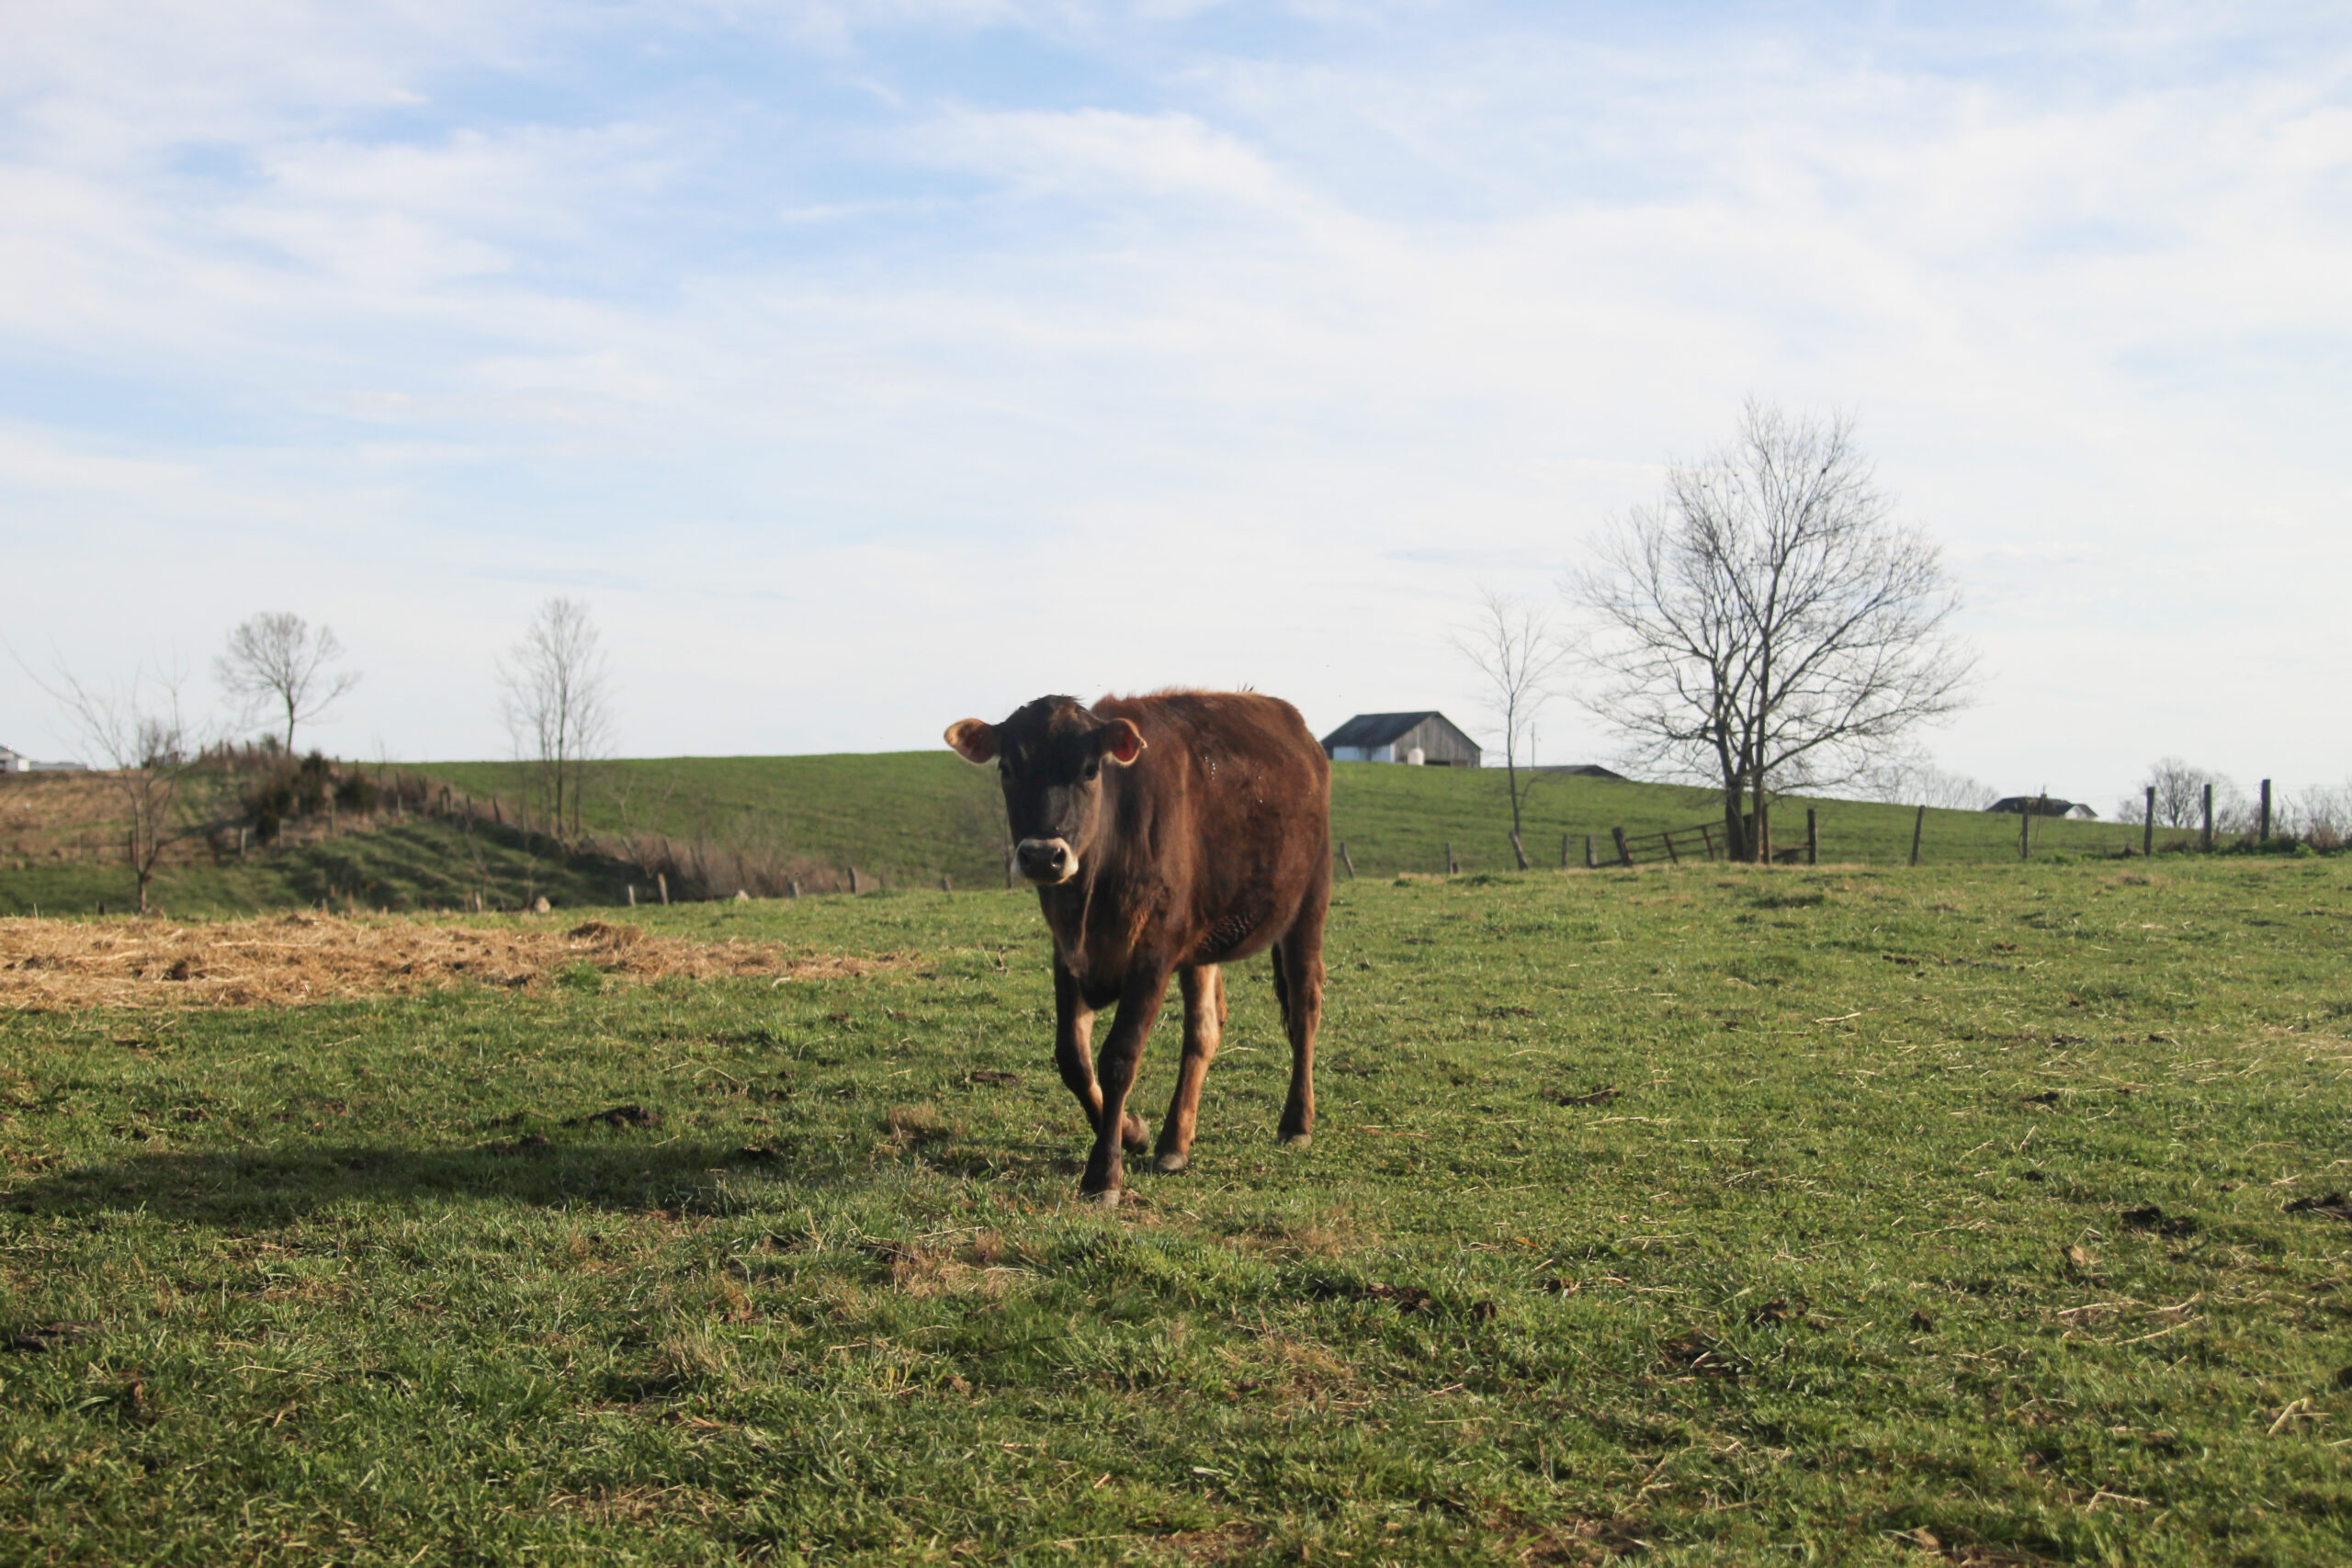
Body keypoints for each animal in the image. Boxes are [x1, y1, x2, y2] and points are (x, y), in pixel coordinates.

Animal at [944, 690, 1331, 1204]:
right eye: (1008, 767)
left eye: (1090, 769)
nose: (1043, 856)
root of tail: (1299, 729)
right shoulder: (1067, 954)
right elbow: (1073, 1058)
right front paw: (1132, 1131)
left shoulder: (1153, 953)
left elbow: (1119, 1058)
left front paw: (1104, 1174)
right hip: (1202, 942)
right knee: (1204, 1030)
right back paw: (1173, 1144)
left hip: (1308, 904)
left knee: (1304, 1008)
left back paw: (1296, 1122)